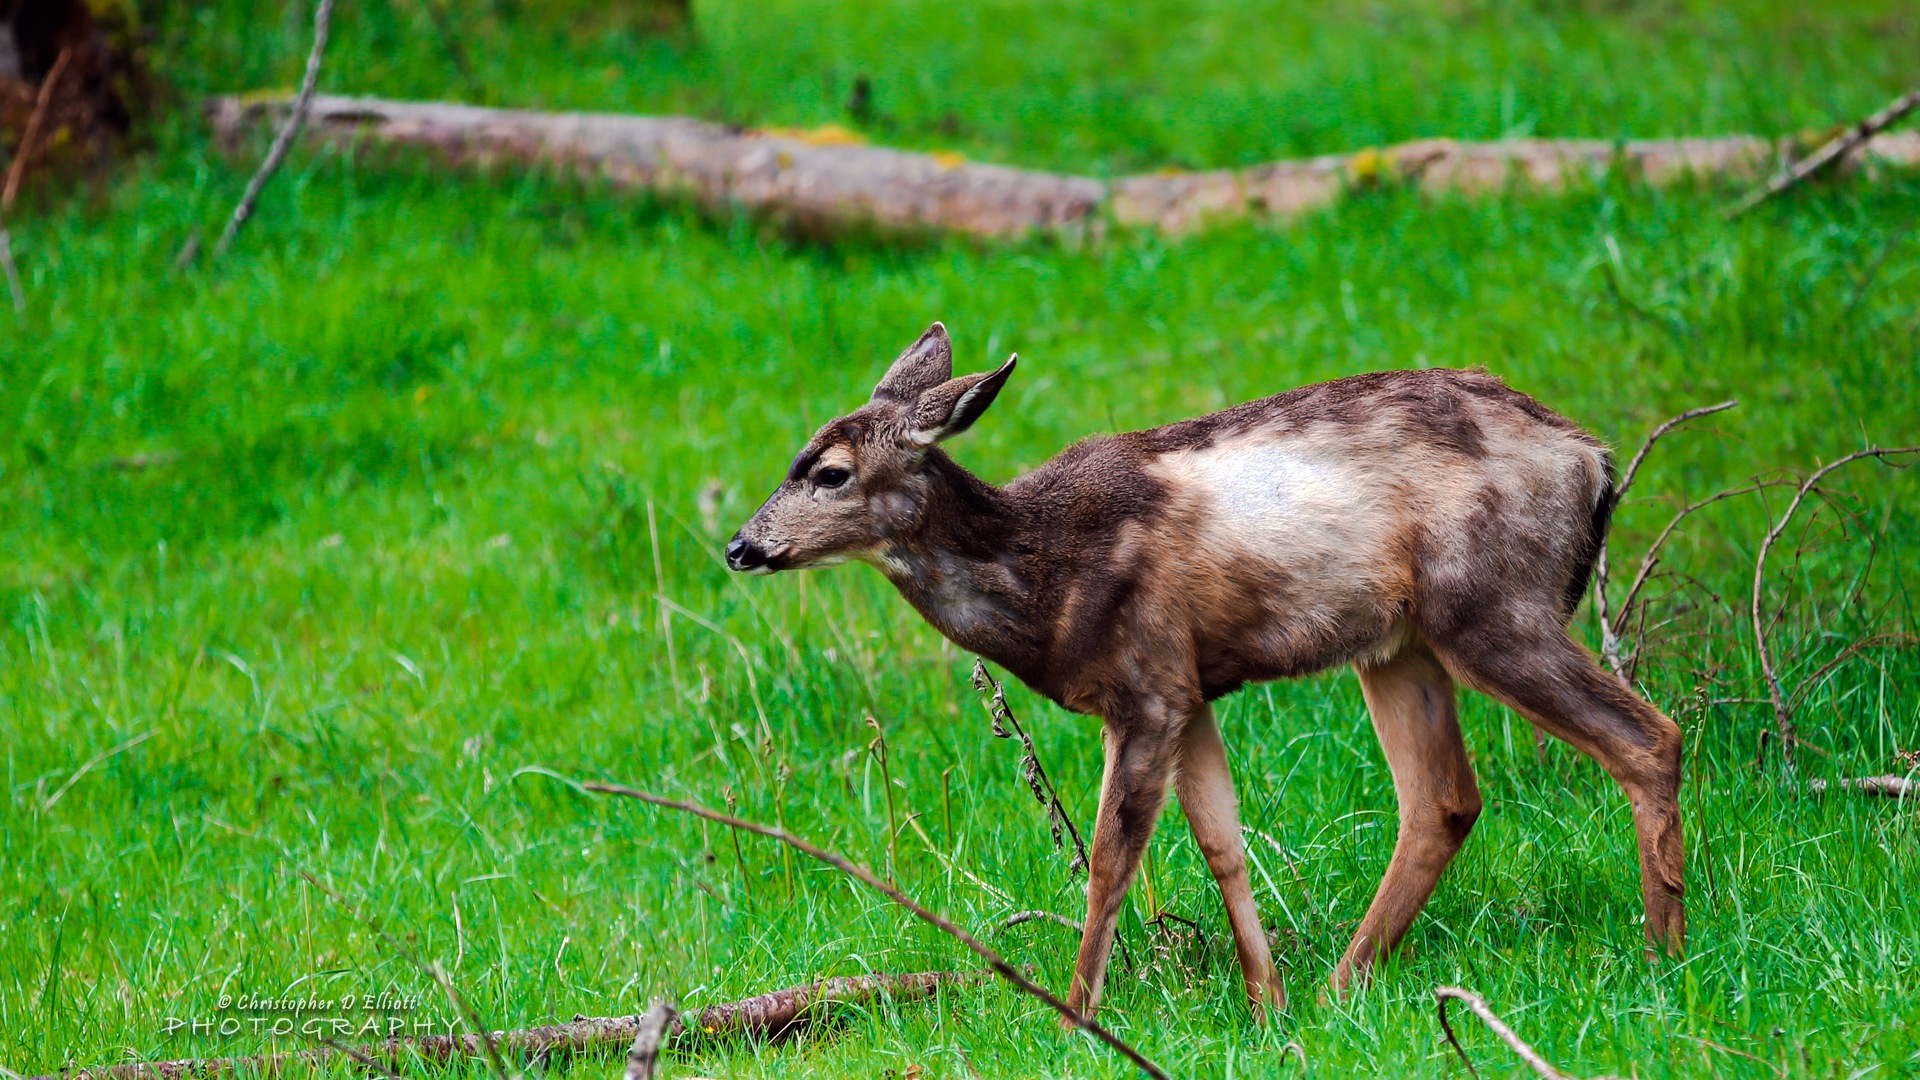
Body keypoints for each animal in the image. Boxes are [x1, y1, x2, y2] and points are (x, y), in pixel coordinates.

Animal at [725, 322, 1689, 1014]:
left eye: (832, 472)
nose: (740, 547)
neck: (1048, 575)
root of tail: (1591, 457)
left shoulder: (1146, 683)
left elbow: (1112, 856)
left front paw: (1076, 1014)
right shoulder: (1189, 689)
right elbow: (1221, 842)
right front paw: (1266, 1004)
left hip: (1493, 606)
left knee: (1649, 738)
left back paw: (1664, 955)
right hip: (1402, 643)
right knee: (1443, 800)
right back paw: (1338, 990)